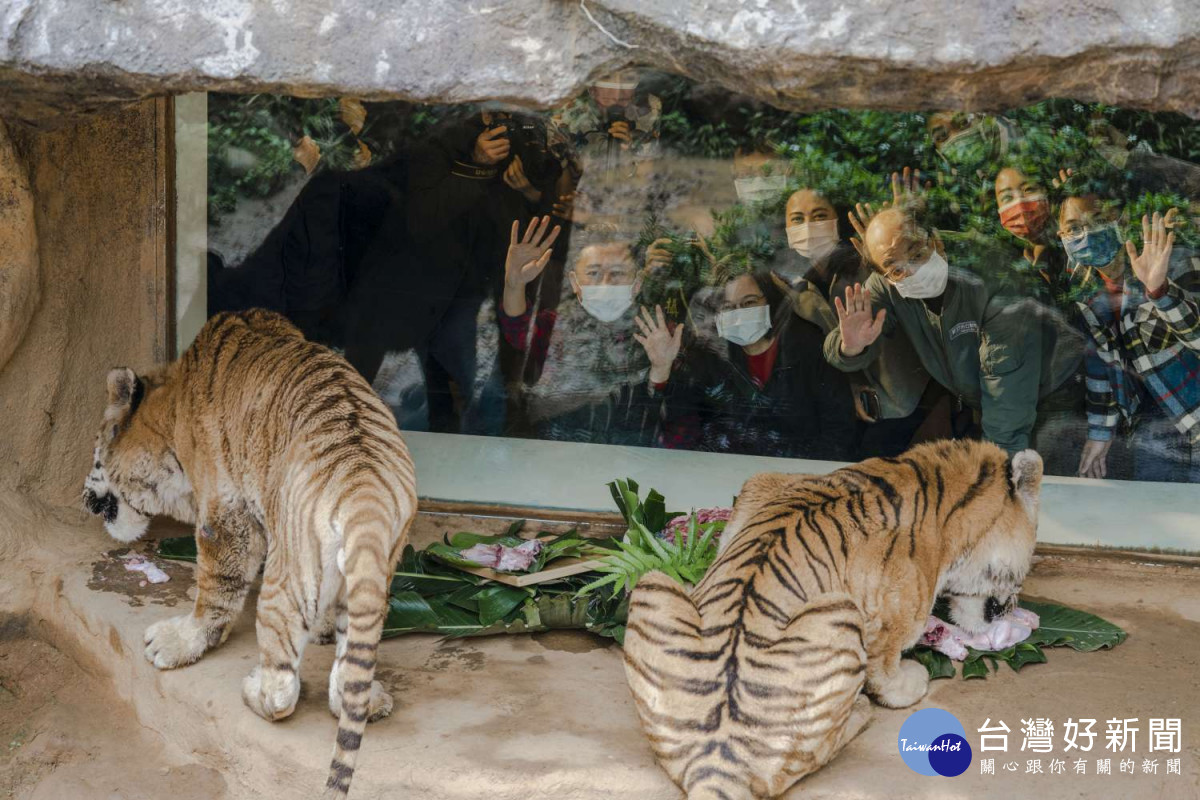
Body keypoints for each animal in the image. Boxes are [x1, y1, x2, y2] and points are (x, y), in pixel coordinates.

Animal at [82, 309, 420, 796]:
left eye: (94, 449)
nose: (82, 497)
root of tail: (365, 494)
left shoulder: (226, 513)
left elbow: (215, 588)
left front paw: (176, 642)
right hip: (374, 575)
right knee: (349, 670)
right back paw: (368, 698)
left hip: (285, 579)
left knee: (282, 689)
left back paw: (255, 691)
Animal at [624, 441, 1046, 796]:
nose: (1014, 607)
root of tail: (714, 764)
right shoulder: (895, 617)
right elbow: (886, 674)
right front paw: (913, 680)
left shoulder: (760, 486)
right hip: (840, 614)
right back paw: (860, 710)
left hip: (651, 584)